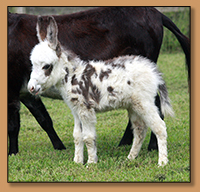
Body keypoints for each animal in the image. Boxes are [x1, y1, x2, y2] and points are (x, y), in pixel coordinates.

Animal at [28, 16, 173, 166]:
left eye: (46, 66)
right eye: (32, 64)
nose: (30, 87)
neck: (73, 76)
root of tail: (153, 70)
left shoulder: (85, 110)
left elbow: (88, 137)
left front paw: (91, 163)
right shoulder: (76, 110)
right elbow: (77, 136)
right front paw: (77, 161)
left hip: (145, 103)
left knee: (159, 127)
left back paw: (162, 162)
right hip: (133, 105)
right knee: (140, 130)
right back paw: (130, 157)